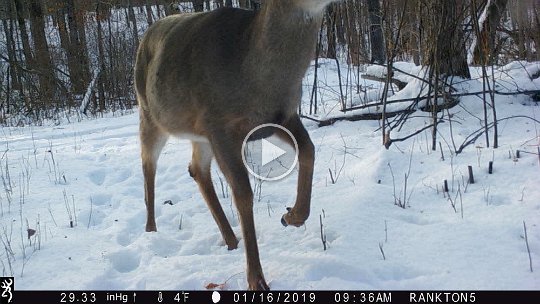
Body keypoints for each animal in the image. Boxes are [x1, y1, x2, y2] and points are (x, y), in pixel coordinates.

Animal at [135, 0, 338, 290]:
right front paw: (256, 279)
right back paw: (151, 230)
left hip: (200, 134)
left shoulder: (282, 116)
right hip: (150, 114)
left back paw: (230, 239)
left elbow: (308, 150)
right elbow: (243, 193)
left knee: (196, 168)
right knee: (148, 165)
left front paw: (292, 216)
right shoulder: (220, 125)